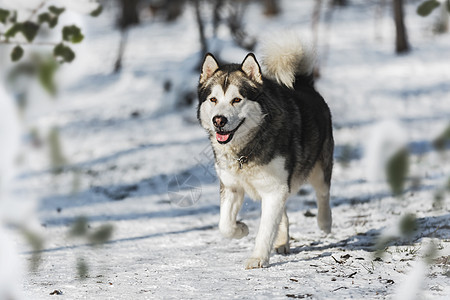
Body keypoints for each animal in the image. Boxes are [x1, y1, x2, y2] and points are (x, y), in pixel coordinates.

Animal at [197, 33, 334, 270]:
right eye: (213, 99)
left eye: (236, 99)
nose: (218, 120)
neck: (245, 150)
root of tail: (303, 84)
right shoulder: (232, 186)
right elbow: (224, 225)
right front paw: (241, 228)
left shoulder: (275, 189)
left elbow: (265, 230)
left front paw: (258, 258)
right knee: (284, 214)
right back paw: (281, 241)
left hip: (318, 168)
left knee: (323, 192)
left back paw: (324, 223)